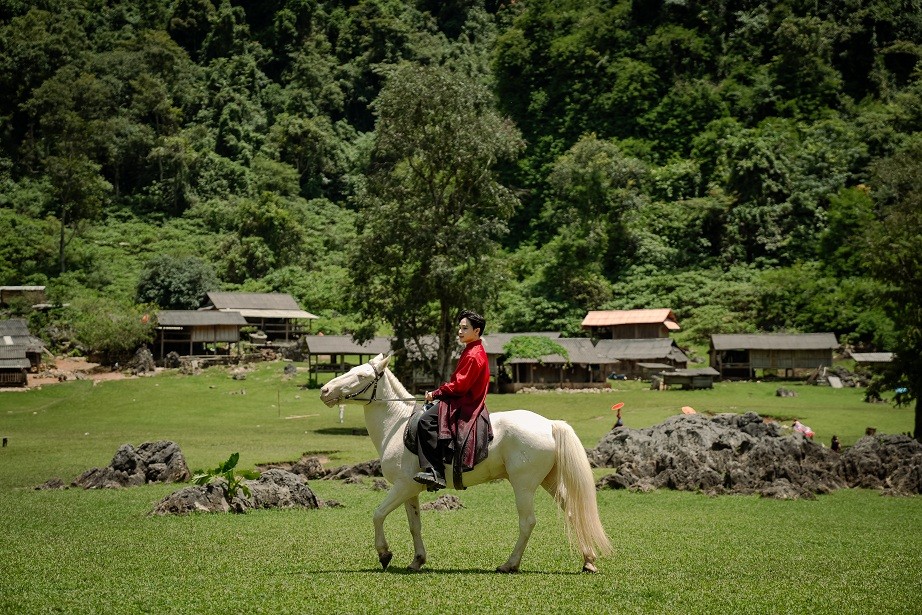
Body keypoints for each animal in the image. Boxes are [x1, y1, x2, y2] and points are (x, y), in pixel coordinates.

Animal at [318, 354, 612, 576]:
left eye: (360, 376)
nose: (324, 390)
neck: (397, 425)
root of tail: (550, 424)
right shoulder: (411, 491)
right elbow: (415, 526)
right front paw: (417, 560)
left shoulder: (402, 487)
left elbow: (378, 514)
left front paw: (384, 554)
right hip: (548, 480)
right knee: (572, 512)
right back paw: (588, 560)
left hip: (524, 485)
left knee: (527, 522)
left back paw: (509, 564)